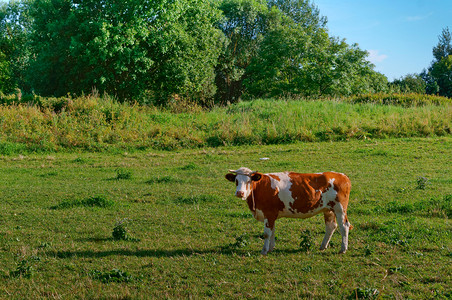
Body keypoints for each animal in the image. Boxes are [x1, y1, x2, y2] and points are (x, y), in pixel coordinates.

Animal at [226, 168, 354, 254]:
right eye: (236, 181)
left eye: (249, 181)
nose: (240, 193)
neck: (261, 187)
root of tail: (342, 175)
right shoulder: (271, 215)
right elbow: (272, 232)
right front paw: (271, 248)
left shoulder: (269, 213)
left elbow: (267, 233)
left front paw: (264, 250)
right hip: (328, 210)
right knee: (331, 226)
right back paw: (323, 246)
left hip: (340, 209)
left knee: (344, 226)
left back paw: (343, 249)